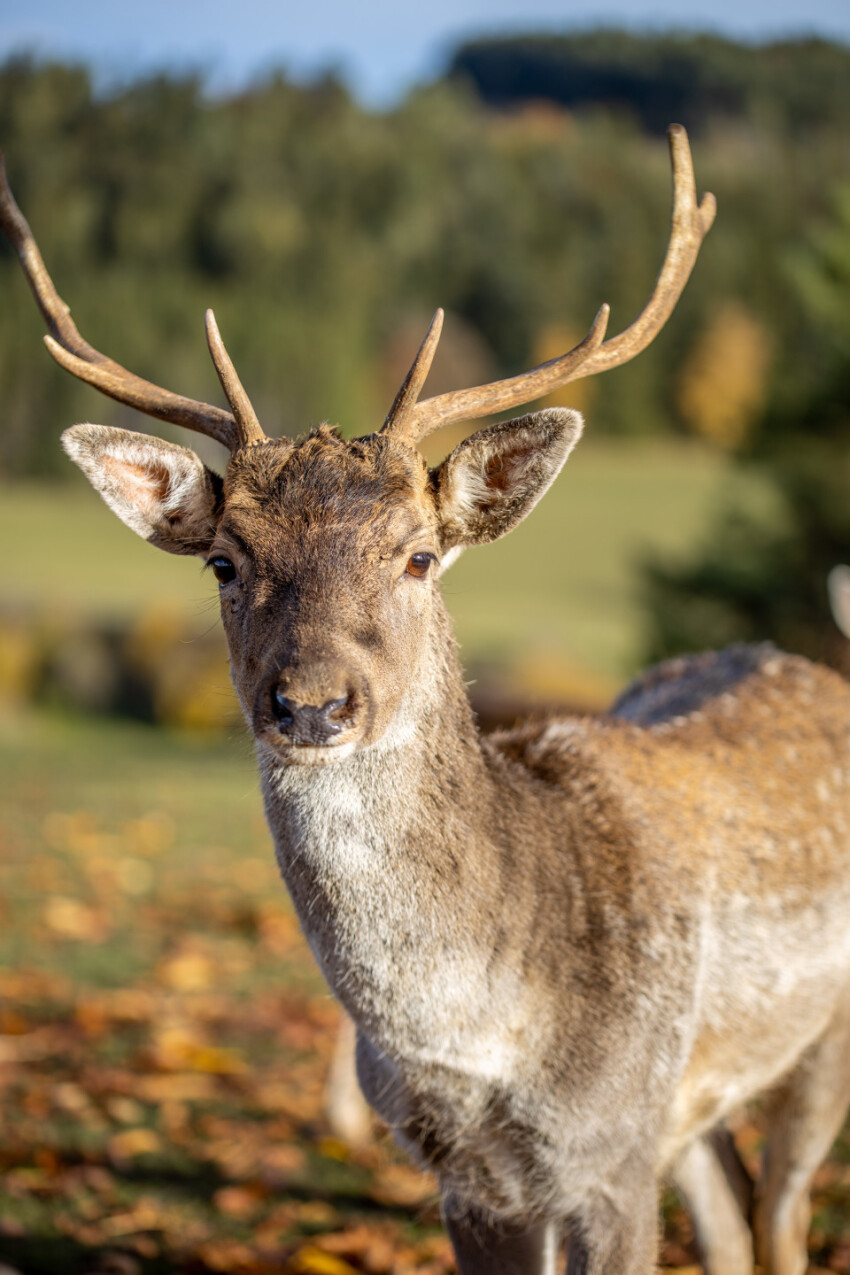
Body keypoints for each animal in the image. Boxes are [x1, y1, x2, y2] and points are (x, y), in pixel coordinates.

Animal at [1, 131, 850, 1275]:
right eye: (224, 560)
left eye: (418, 554)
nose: (311, 704)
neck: (483, 1038)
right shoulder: (471, 1176)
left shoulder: (610, 1155)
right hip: (688, 1111)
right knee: (730, 1220)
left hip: (813, 1047)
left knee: (780, 1220)